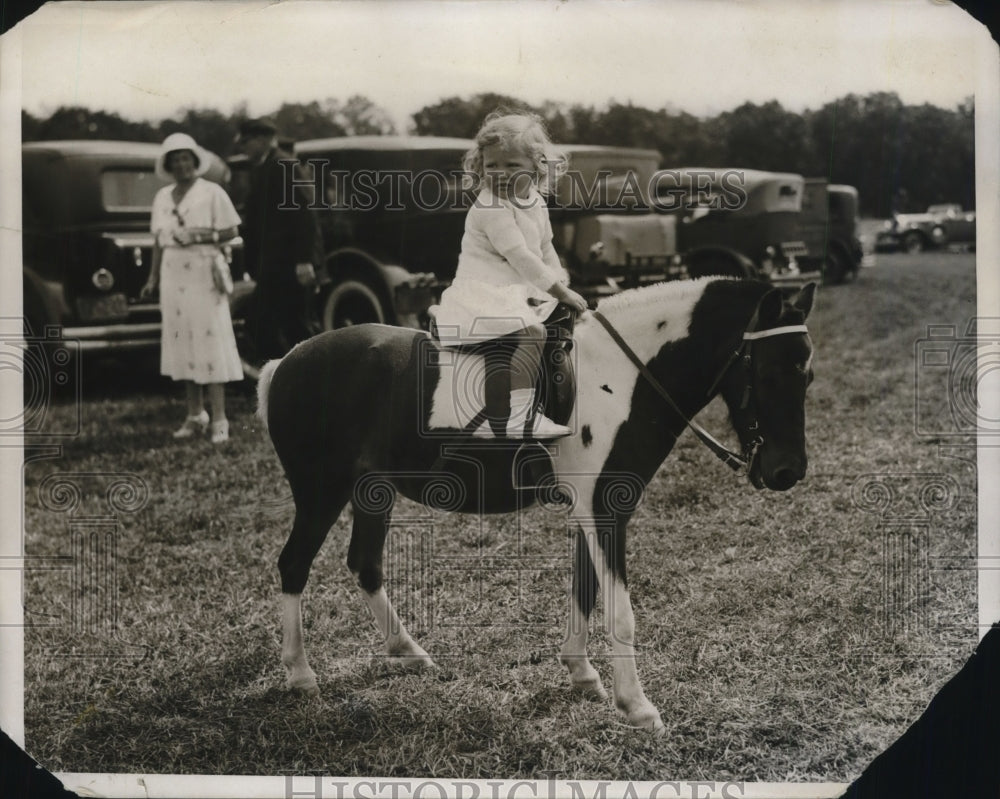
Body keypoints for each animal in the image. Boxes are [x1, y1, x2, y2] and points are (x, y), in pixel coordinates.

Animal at [256, 276, 812, 732]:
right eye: (768, 372)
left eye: (806, 375)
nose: (788, 472)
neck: (619, 377)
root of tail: (285, 362)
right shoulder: (607, 509)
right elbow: (619, 611)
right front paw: (637, 707)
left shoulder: (591, 508)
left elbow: (584, 589)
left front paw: (582, 674)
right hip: (320, 490)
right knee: (294, 565)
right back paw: (301, 675)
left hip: (373, 490)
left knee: (365, 564)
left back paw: (407, 651)